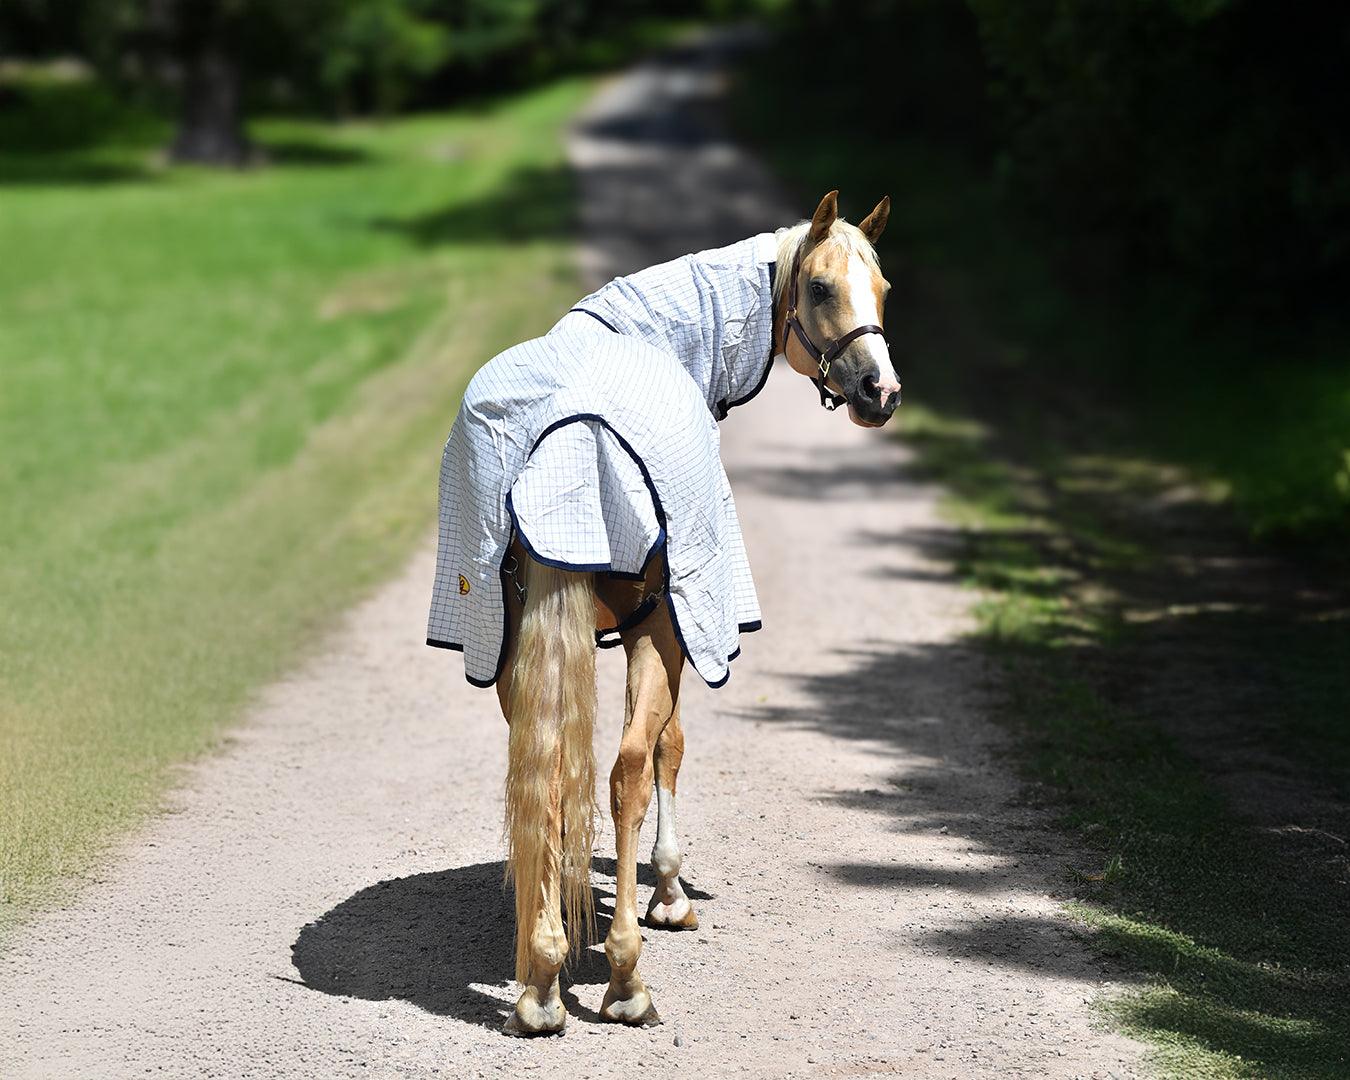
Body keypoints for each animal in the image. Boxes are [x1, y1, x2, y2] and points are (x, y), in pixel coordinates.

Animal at [427, 190, 898, 1035]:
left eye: (883, 290)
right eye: (819, 288)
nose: (882, 391)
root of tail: (569, 441)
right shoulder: (678, 624)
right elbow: (667, 750)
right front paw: (671, 893)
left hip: (511, 646)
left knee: (546, 774)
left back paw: (541, 980)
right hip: (656, 629)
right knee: (625, 771)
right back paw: (623, 978)